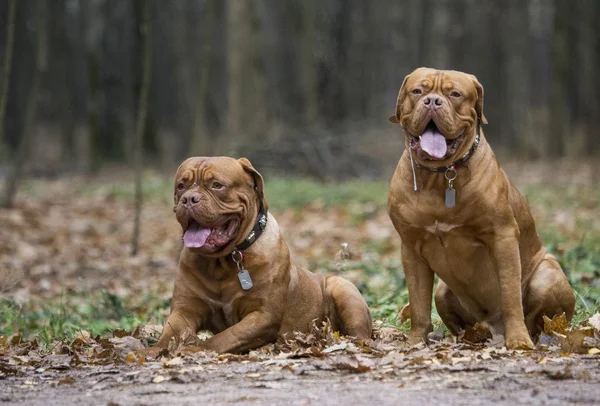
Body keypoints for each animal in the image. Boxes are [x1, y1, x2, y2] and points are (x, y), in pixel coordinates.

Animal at [143, 157, 372, 354]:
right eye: (181, 186)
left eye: (217, 185)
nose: (189, 199)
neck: (223, 261)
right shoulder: (185, 310)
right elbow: (168, 334)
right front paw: (151, 351)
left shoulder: (263, 316)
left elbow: (225, 337)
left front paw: (195, 350)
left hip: (343, 289)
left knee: (360, 335)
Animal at [386, 66, 576, 348]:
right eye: (417, 91)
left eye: (455, 94)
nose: (432, 101)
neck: (440, 175)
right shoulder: (411, 247)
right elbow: (418, 303)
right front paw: (415, 342)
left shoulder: (502, 236)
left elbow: (510, 296)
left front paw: (518, 341)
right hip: (443, 291)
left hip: (548, 276)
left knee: (541, 319)